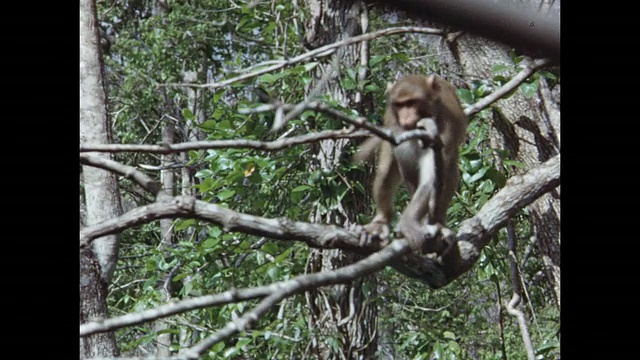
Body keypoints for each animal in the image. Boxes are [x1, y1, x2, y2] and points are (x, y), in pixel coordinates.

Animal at [352, 74, 468, 253]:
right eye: (400, 105)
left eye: (412, 103)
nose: (406, 118)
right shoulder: (391, 119)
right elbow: (392, 164)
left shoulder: (446, 124)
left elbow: (432, 178)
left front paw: (408, 222)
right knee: (391, 166)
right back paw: (382, 220)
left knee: (448, 170)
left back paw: (438, 222)